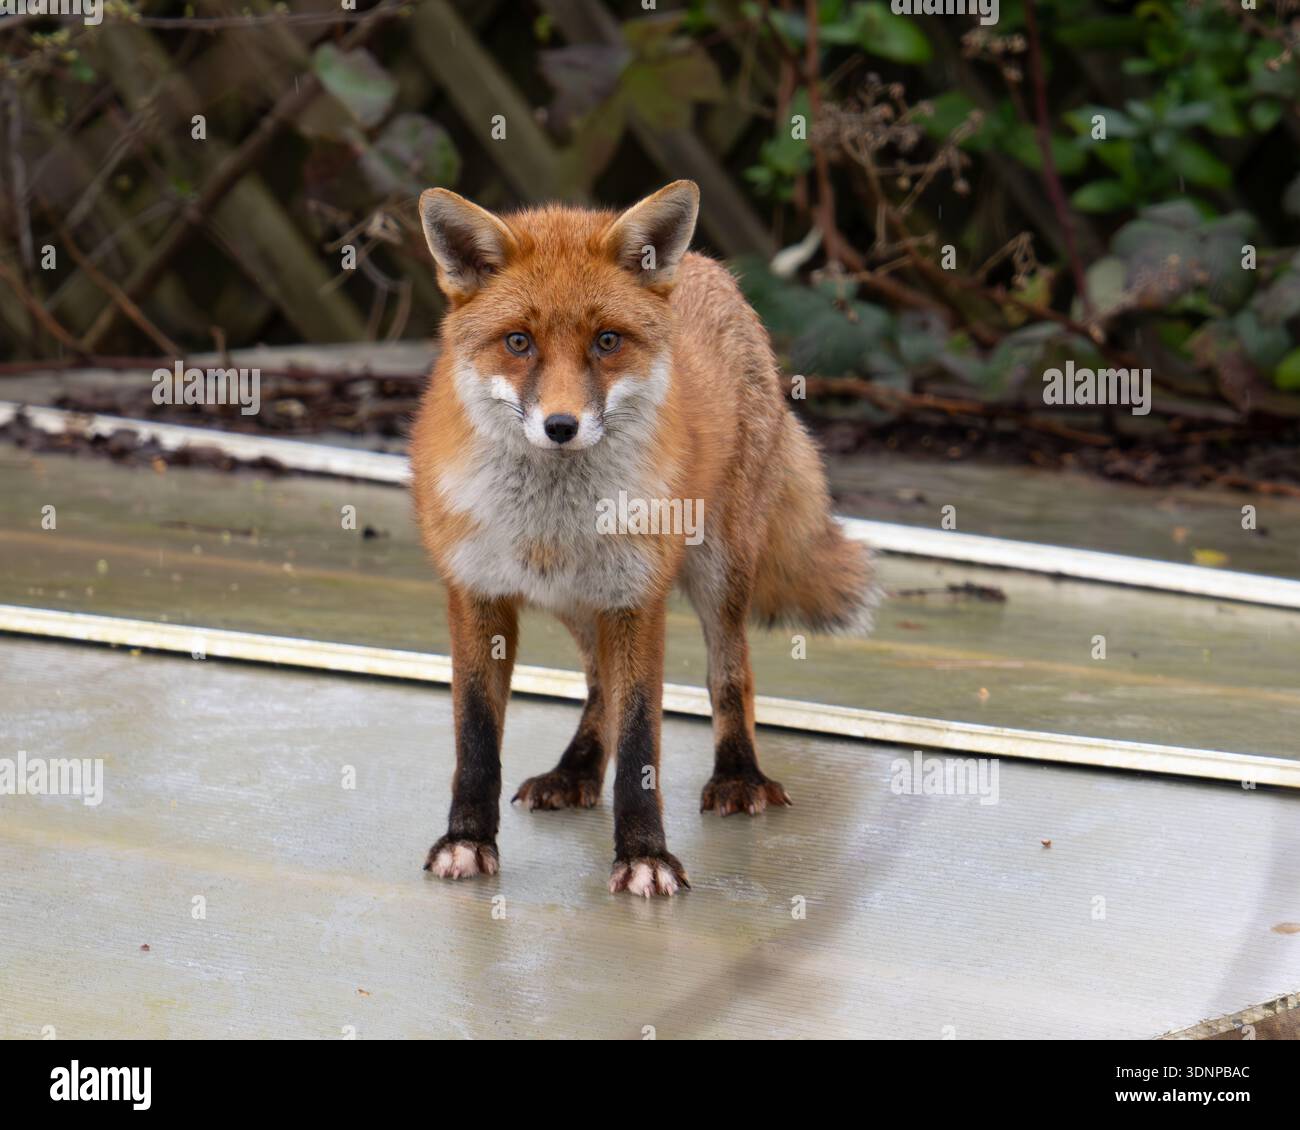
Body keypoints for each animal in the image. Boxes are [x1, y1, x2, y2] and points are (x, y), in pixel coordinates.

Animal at [410, 180, 877, 898]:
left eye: (607, 341)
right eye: (518, 342)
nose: (562, 426)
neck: (554, 520)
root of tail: (711, 269)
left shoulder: (637, 601)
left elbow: (639, 745)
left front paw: (644, 856)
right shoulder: (477, 595)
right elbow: (477, 741)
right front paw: (466, 841)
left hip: (716, 574)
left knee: (730, 676)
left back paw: (738, 775)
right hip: (579, 604)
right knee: (597, 688)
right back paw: (575, 770)